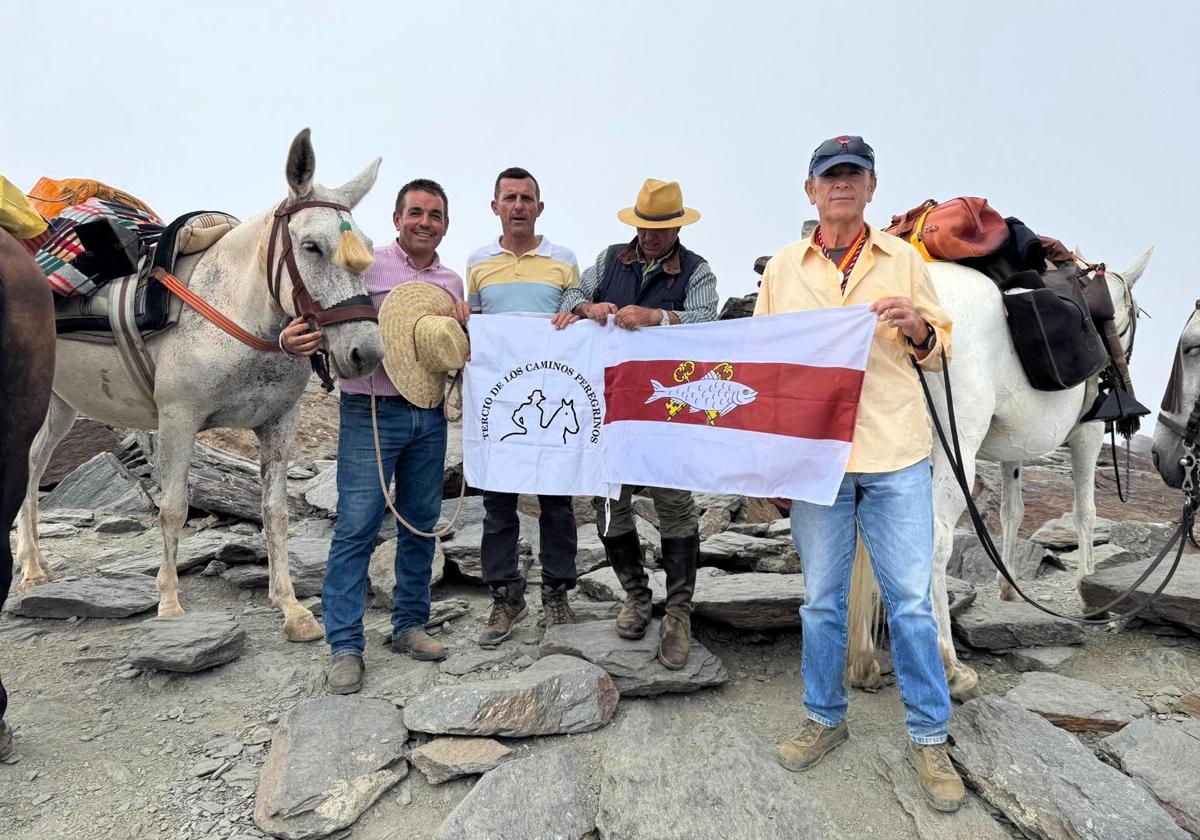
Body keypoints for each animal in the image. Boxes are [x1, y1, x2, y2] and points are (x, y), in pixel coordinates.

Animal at [14, 129, 385, 643]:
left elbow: (275, 511)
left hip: (61, 405)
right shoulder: (178, 419)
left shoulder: (279, 423)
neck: (231, 309)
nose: (365, 352)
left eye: (366, 244)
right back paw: (30, 567)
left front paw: (289, 605)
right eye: (311, 245)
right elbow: (173, 507)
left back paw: (33, 562)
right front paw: (169, 604)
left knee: (34, 462)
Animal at [845, 251, 1150, 700]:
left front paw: (1008, 585)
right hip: (956, 450)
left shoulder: (1013, 450)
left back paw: (864, 660)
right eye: (1135, 316)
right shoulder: (1088, 434)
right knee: (934, 540)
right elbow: (1085, 513)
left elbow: (1013, 511)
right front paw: (1088, 591)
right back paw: (949, 664)